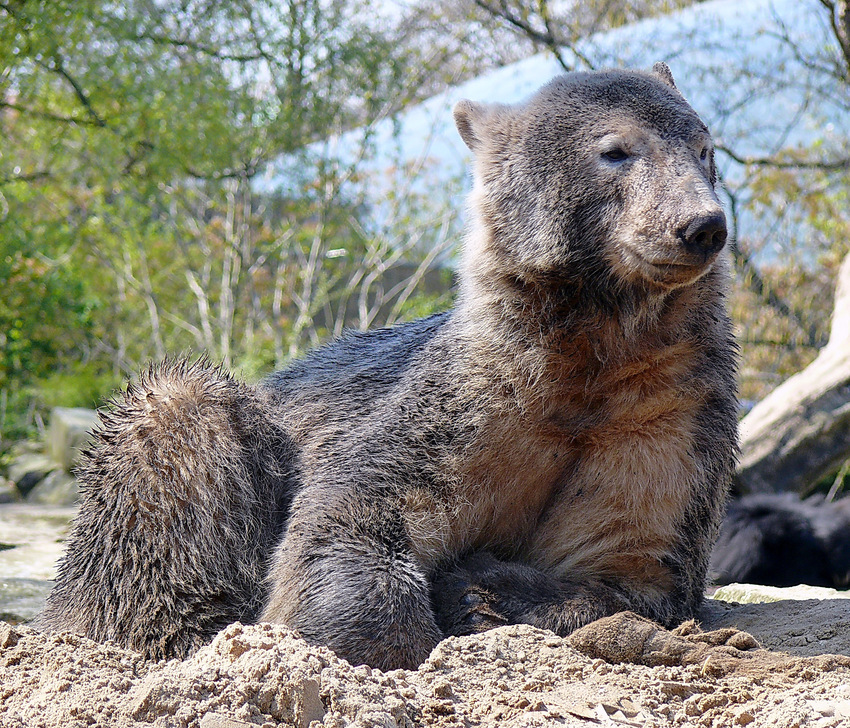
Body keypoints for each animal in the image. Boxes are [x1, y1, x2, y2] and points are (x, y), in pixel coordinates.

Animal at [34, 64, 736, 672]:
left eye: (705, 149)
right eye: (615, 150)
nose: (701, 225)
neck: (588, 347)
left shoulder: (668, 410)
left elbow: (629, 558)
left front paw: (484, 589)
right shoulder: (469, 397)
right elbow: (360, 501)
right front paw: (381, 633)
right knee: (176, 426)